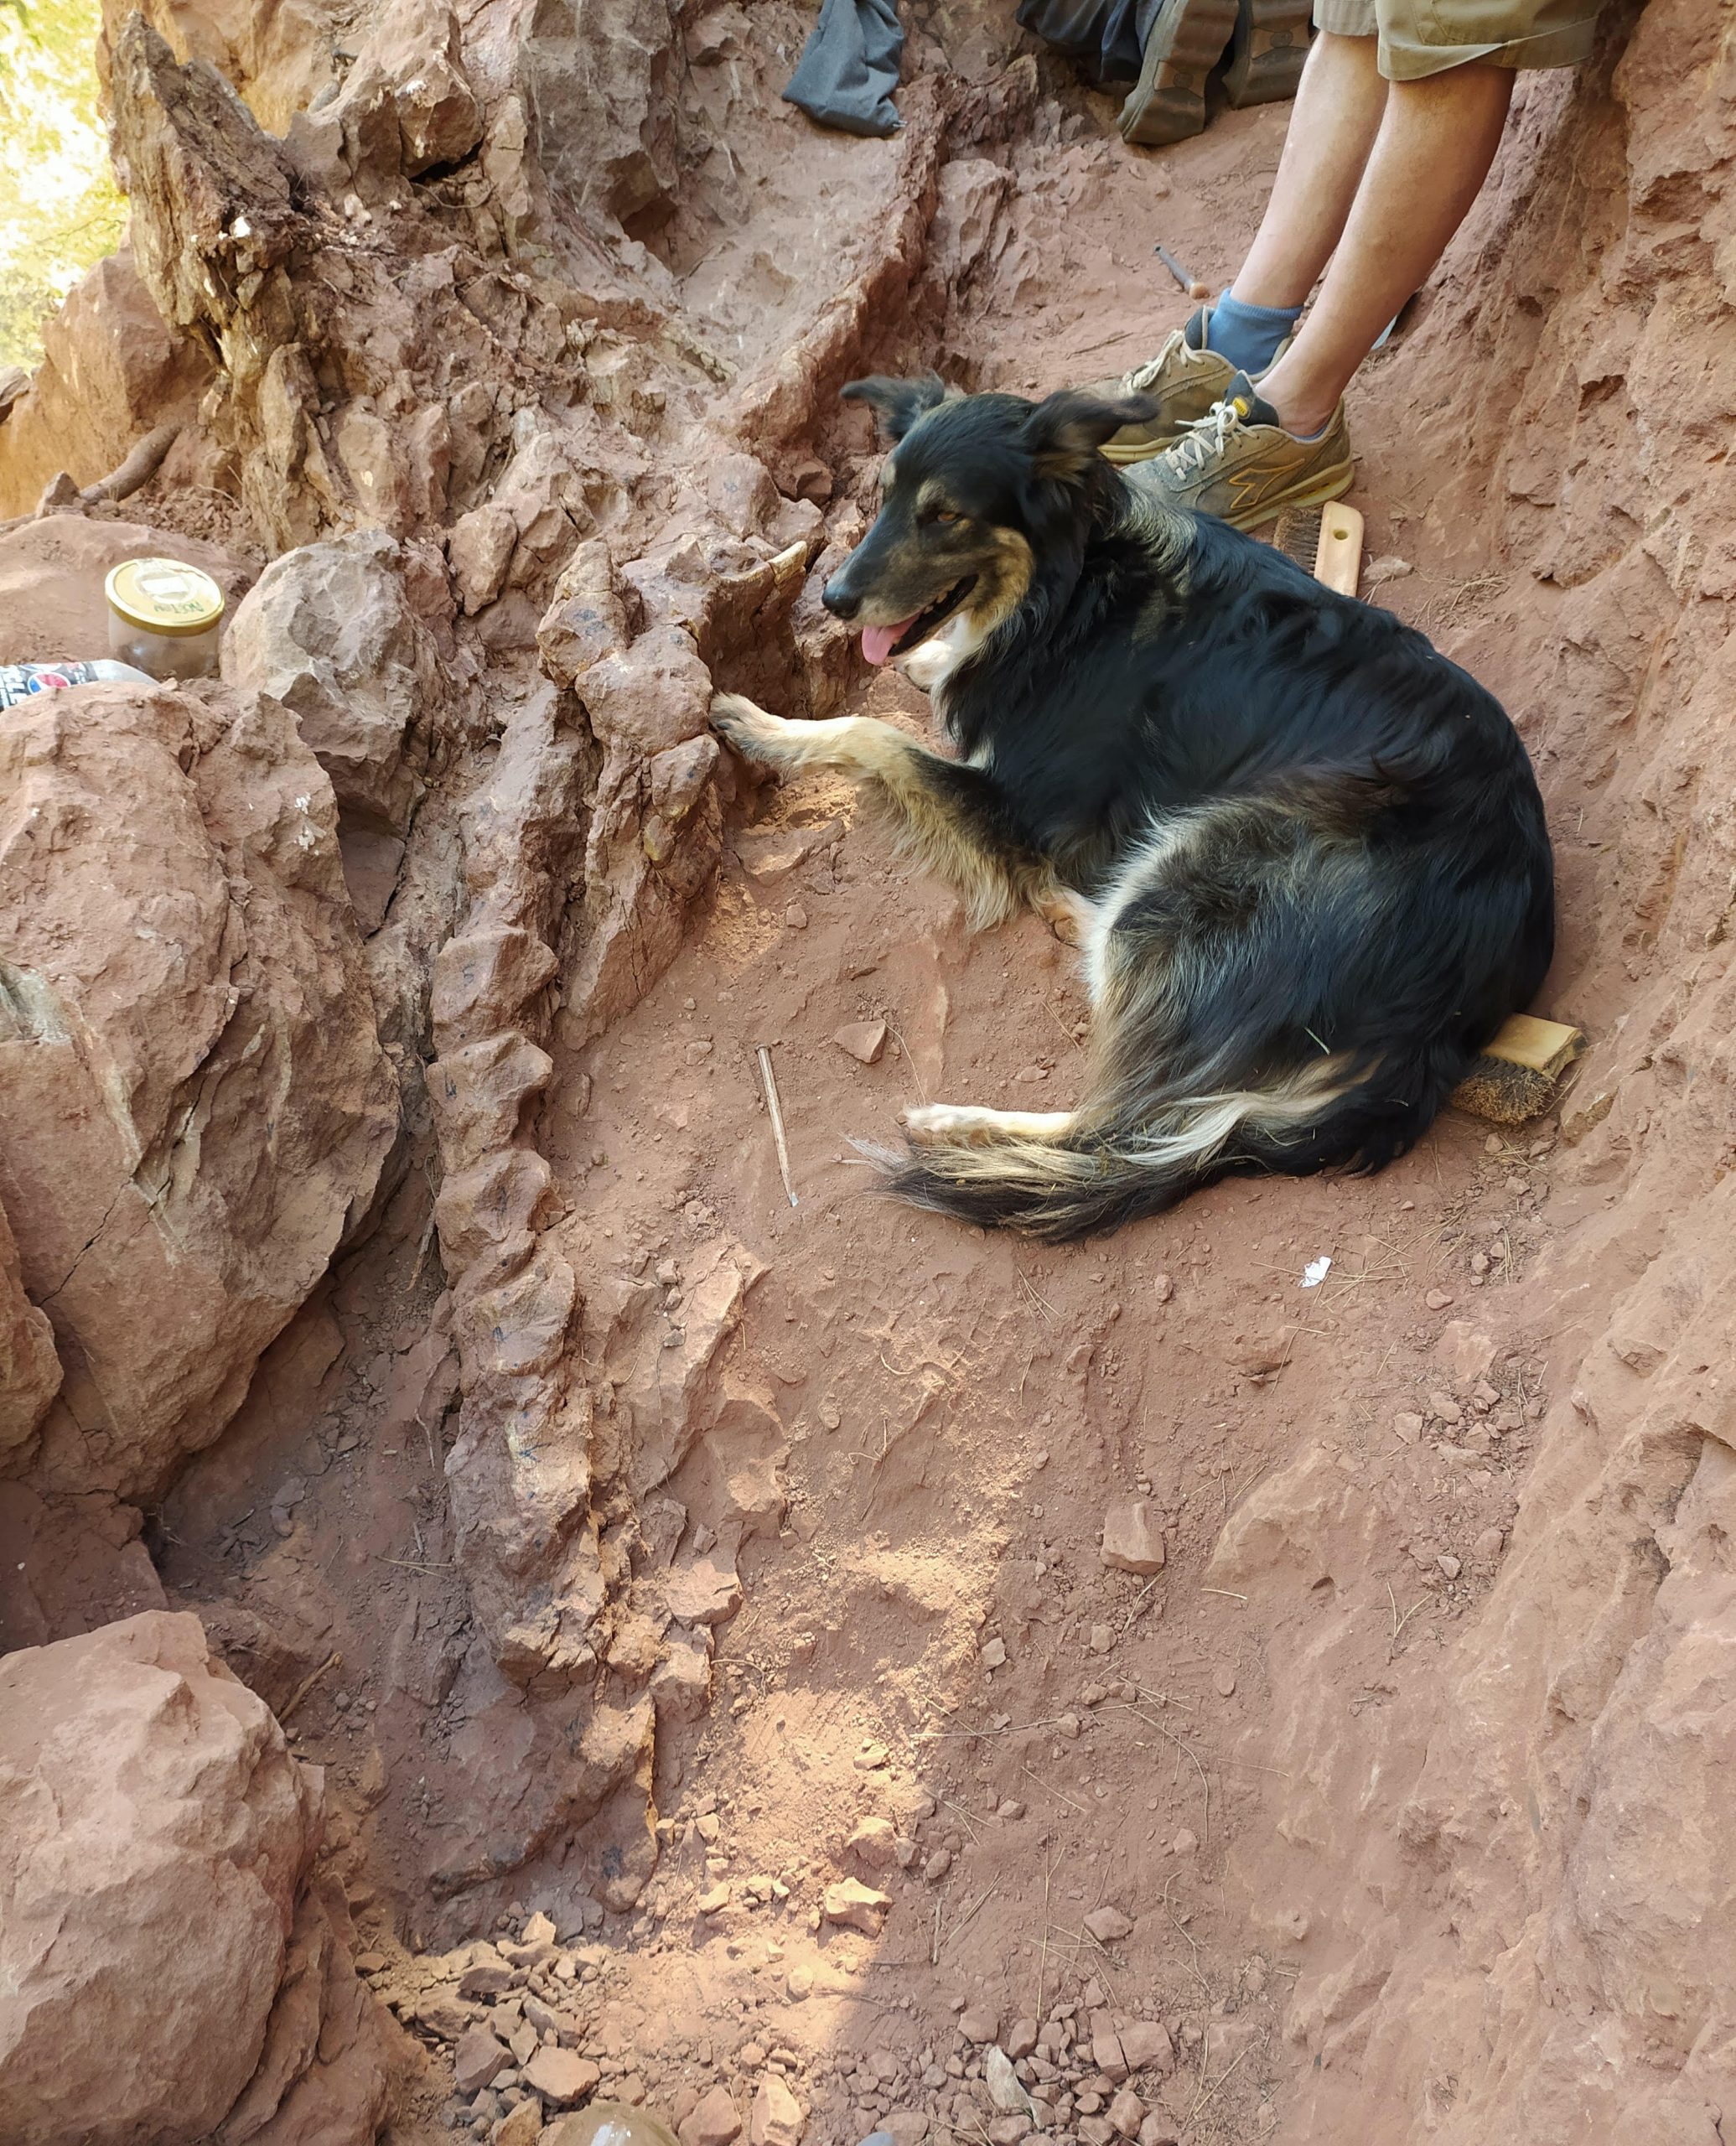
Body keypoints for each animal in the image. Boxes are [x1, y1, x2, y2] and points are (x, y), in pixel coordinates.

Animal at [712, 371, 1553, 1244]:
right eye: (883, 500)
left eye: (944, 515)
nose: (834, 598)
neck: (1072, 590)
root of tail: (1444, 1025)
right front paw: (932, 663)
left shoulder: (1020, 809)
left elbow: (871, 731)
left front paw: (761, 724)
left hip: (1199, 863)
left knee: (1118, 1124)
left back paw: (958, 1122)